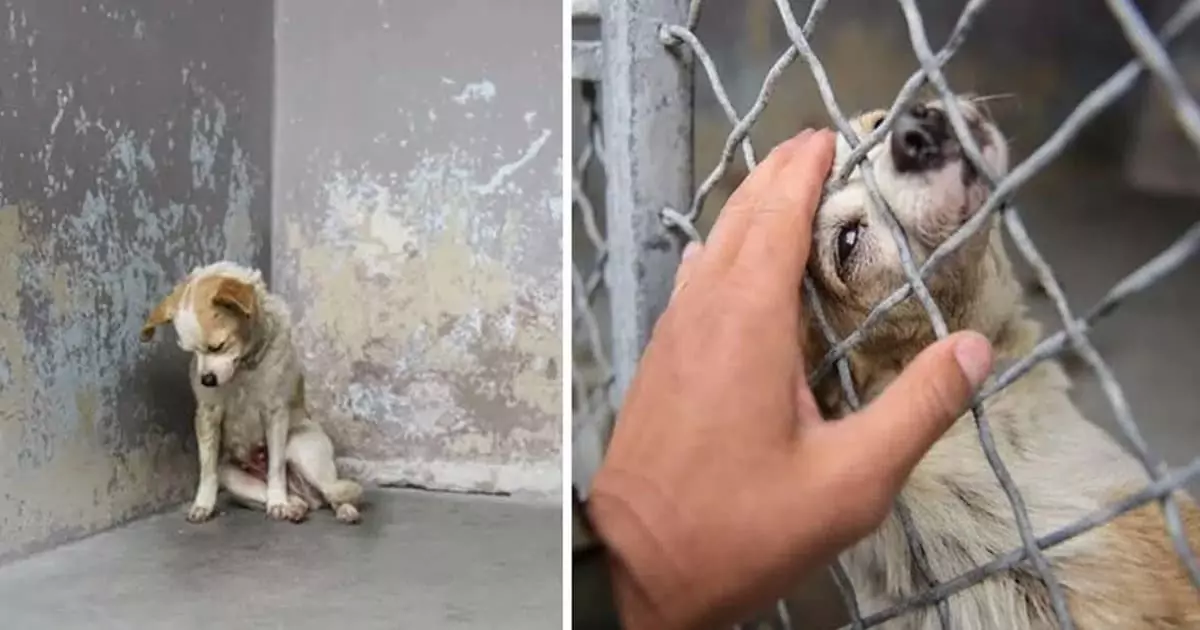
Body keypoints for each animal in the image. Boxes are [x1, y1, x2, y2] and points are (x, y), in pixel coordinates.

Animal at [139, 258, 360, 523]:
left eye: (218, 346)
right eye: (191, 352)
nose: (206, 380)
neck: (243, 368)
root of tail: (301, 490)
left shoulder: (275, 414)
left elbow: (276, 467)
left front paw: (278, 501)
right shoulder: (207, 416)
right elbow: (207, 469)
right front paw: (203, 504)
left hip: (301, 449)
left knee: (333, 491)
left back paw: (341, 509)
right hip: (232, 475)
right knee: (300, 499)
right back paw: (294, 507)